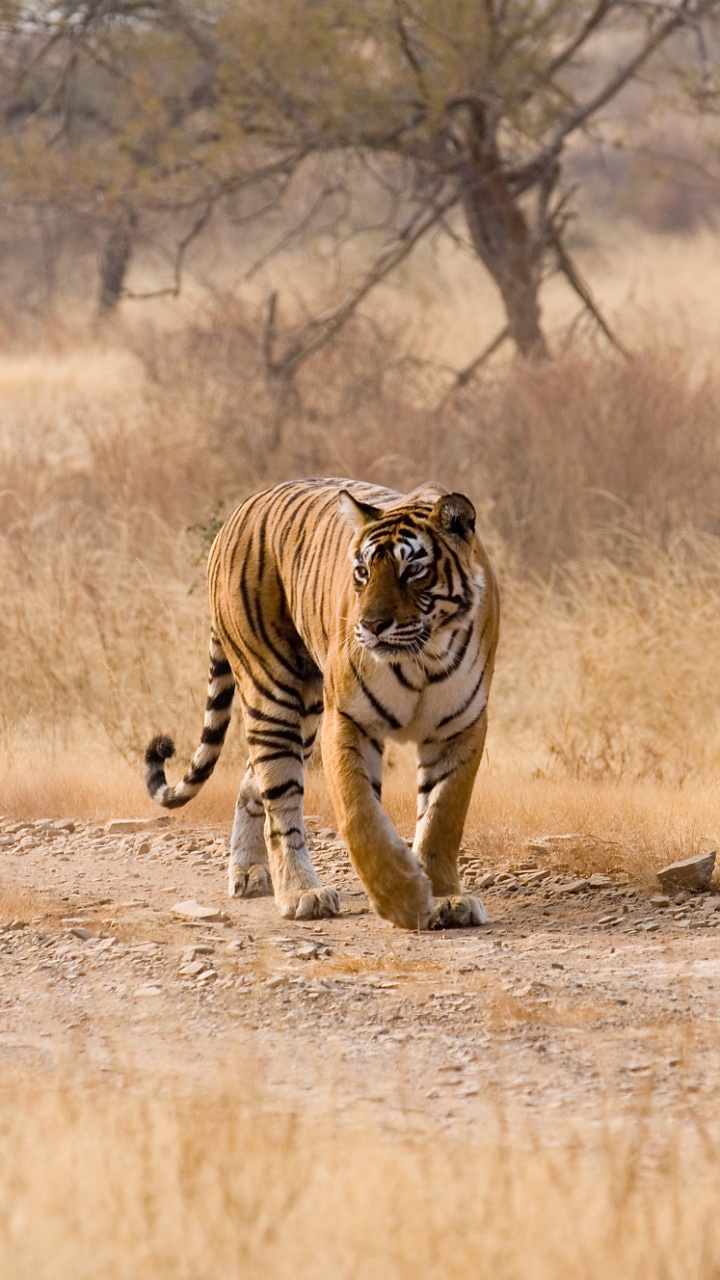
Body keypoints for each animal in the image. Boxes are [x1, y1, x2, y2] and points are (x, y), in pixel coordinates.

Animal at [144, 478, 499, 930]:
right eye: (362, 572)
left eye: (412, 571)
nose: (370, 625)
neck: (423, 659)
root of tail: (241, 508)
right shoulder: (347, 719)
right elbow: (360, 814)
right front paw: (401, 898)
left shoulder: (461, 726)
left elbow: (442, 817)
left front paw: (446, 898)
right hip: (273, 691)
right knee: (280, 802)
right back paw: (300, 893)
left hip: (307, 712)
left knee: (251, 781)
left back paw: (250, 872)